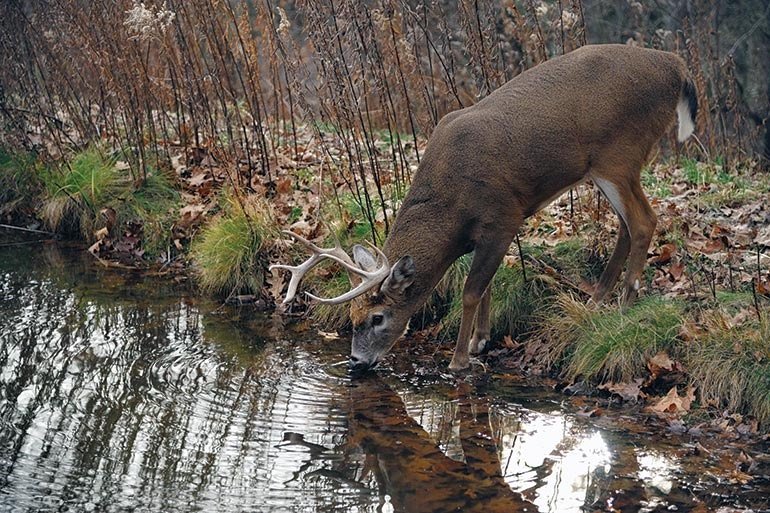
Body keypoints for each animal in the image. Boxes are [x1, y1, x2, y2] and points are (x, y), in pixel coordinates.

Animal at [270, 44, 696, 372]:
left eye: (378, 318)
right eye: (352, 317)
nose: (356, 362)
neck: (450, 205)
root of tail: (676, 66)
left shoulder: (503, 216)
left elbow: (472, 291)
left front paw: (459, 359)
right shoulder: (484, 233)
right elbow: (488, 285)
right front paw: (480, 341)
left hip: (619, 155)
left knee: (644, 221)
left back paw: (624, 305)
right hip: (610, 167)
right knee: (626, 225)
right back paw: (594, 303)